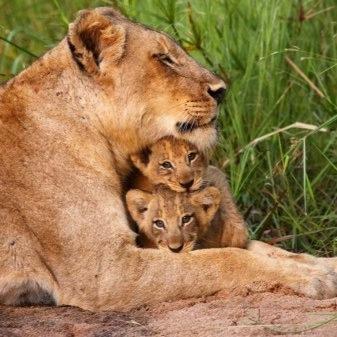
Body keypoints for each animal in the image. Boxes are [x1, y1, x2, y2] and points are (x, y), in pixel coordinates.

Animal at [0, 7, 336, 310]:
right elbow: (222, 259)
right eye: (164, 59)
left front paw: (323, 264)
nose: (221, 91)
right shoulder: (105, 271)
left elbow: (259, 247)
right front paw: (312, 277)